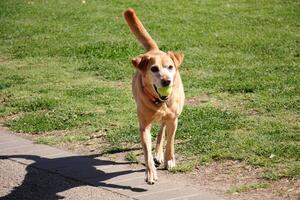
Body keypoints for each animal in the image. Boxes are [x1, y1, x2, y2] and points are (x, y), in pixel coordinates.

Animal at [122, 9, 184, 184]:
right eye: (154, 69)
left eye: (170, 67)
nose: (166, 81)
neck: (158, 102)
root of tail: (155, 50)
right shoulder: (144, 126)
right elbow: (146, 152)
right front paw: (150, 173)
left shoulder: (173, 120)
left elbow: (170, 142)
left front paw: (170, 160)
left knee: (162, 130)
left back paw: (159, 153)